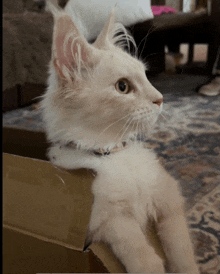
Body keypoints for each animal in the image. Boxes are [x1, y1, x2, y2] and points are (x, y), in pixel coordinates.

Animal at [40, 5, 200, 272]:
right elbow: (137, 248)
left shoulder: (169, 198)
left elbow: (181, 248)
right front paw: (152, 266)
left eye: (146, 76)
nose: (160, 98)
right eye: (123, 87)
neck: (112, 152)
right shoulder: (101, 219)